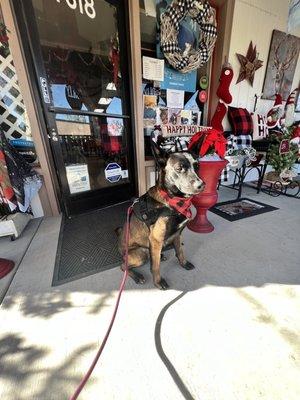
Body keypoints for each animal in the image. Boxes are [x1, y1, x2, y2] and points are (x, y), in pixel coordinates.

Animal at [116, 148, 205, 290]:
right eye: (179, 168)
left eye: (197, 166)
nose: (201, 185)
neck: (173, 202)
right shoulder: (156, 239)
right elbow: (155, 266)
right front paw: (158, 282)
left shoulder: (177, 234)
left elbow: (180, 251)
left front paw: (184, 263)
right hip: (141, 253)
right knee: (123, 265)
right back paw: (137, 276)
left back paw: (161, 256)